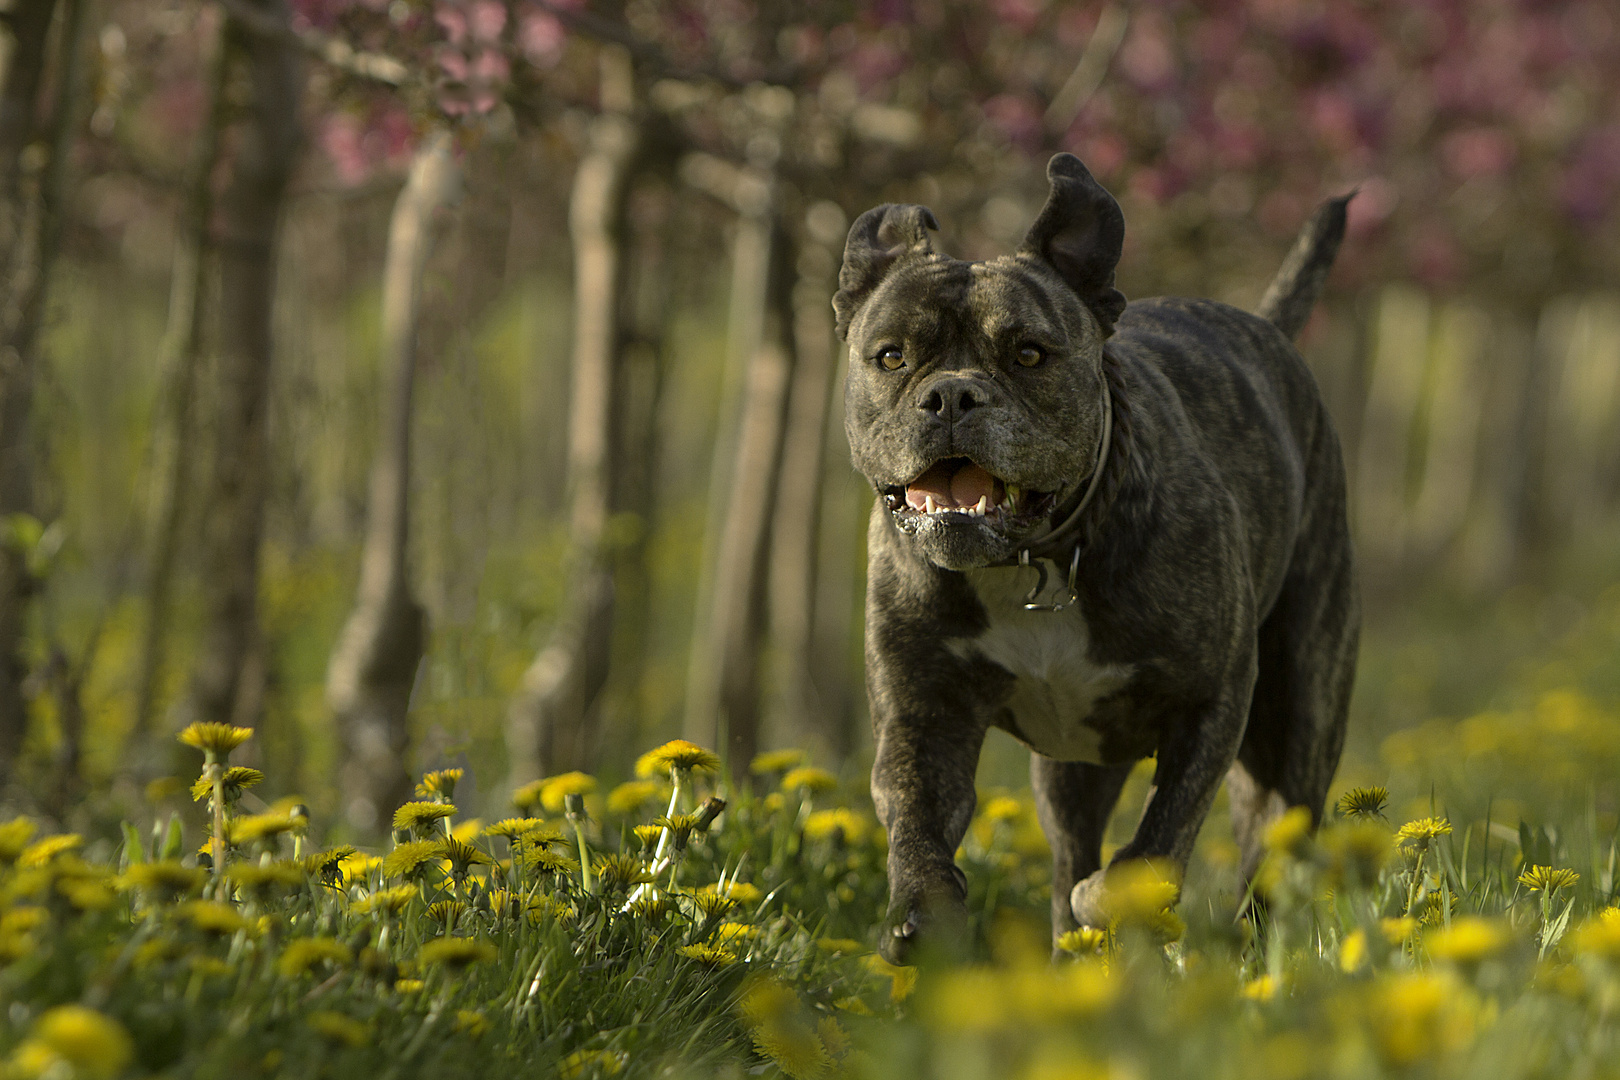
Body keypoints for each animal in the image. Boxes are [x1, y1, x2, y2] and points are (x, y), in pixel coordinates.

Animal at [842, 152, 1360, 965]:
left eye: (1029, 354)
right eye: (891, 356)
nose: (951, 395)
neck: (1031, 562)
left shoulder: (1210, 704)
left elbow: (1157, 844)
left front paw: (1117, 898)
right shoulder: (922, 711)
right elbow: (916, 816)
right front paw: (922, 916)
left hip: (1297, 719)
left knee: (1270, 850)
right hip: (1071, 771)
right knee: (1068, 853)